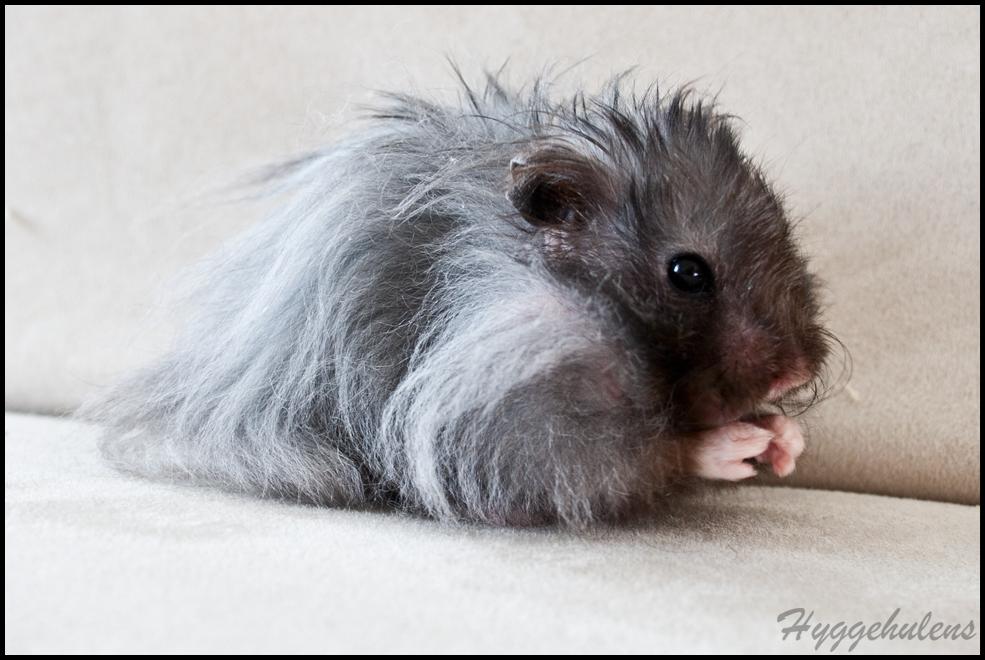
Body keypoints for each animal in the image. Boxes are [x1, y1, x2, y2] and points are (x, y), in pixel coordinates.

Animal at [89, 71, 835, 527]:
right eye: (687, 272)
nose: (799, 372)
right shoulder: (511, 405)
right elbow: (647, 452)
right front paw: (736, 446)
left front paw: (784, 442)